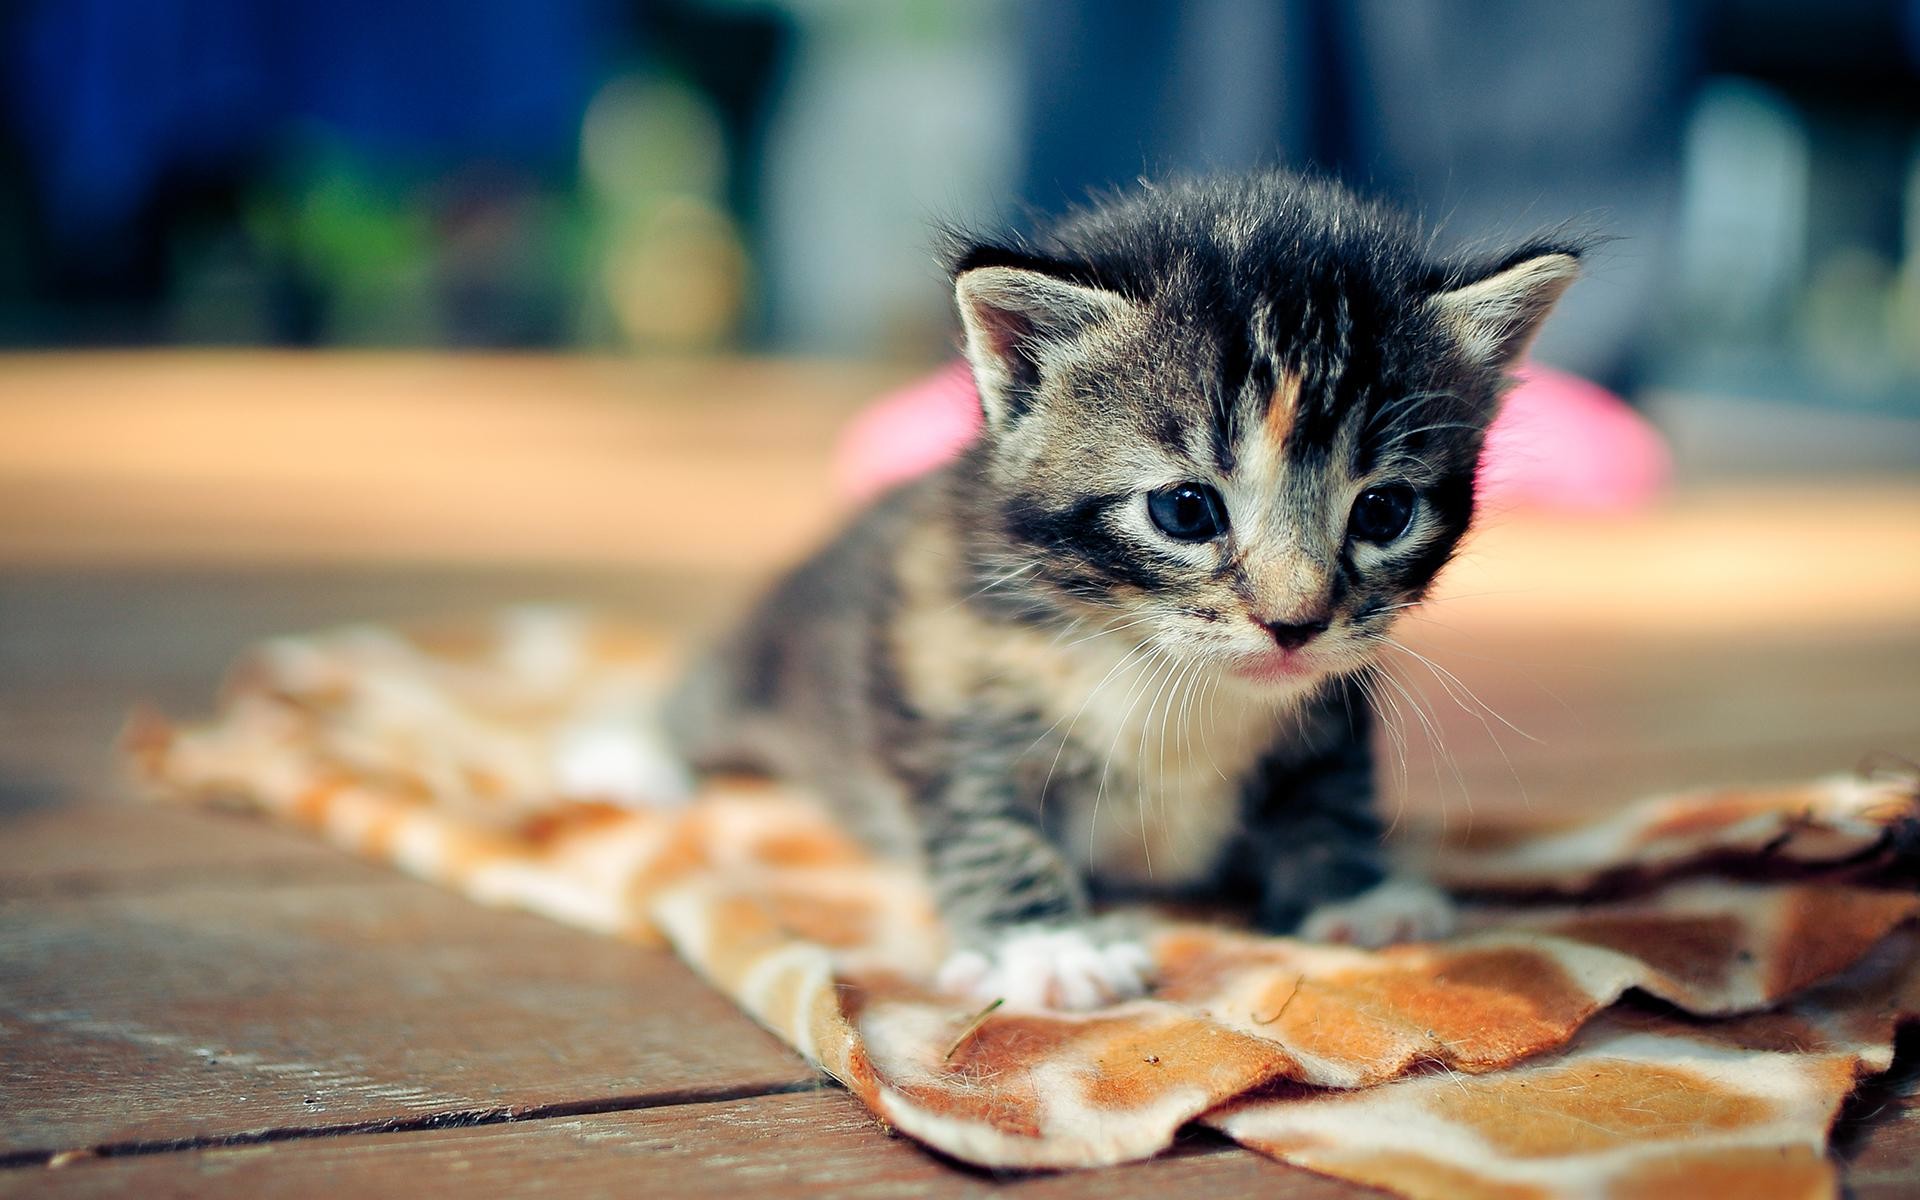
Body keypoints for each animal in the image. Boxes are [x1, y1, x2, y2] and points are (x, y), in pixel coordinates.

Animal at [668, 170, 1582, 1013]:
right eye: (1185, 509)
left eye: (1385, 511)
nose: (1295, 624)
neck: (1152, 658)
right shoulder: (942, 666)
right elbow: (987, 821)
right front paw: (1045, 946)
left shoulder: (1337, 694)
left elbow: (1331, 789)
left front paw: (1354, 891)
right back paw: (645, 761)